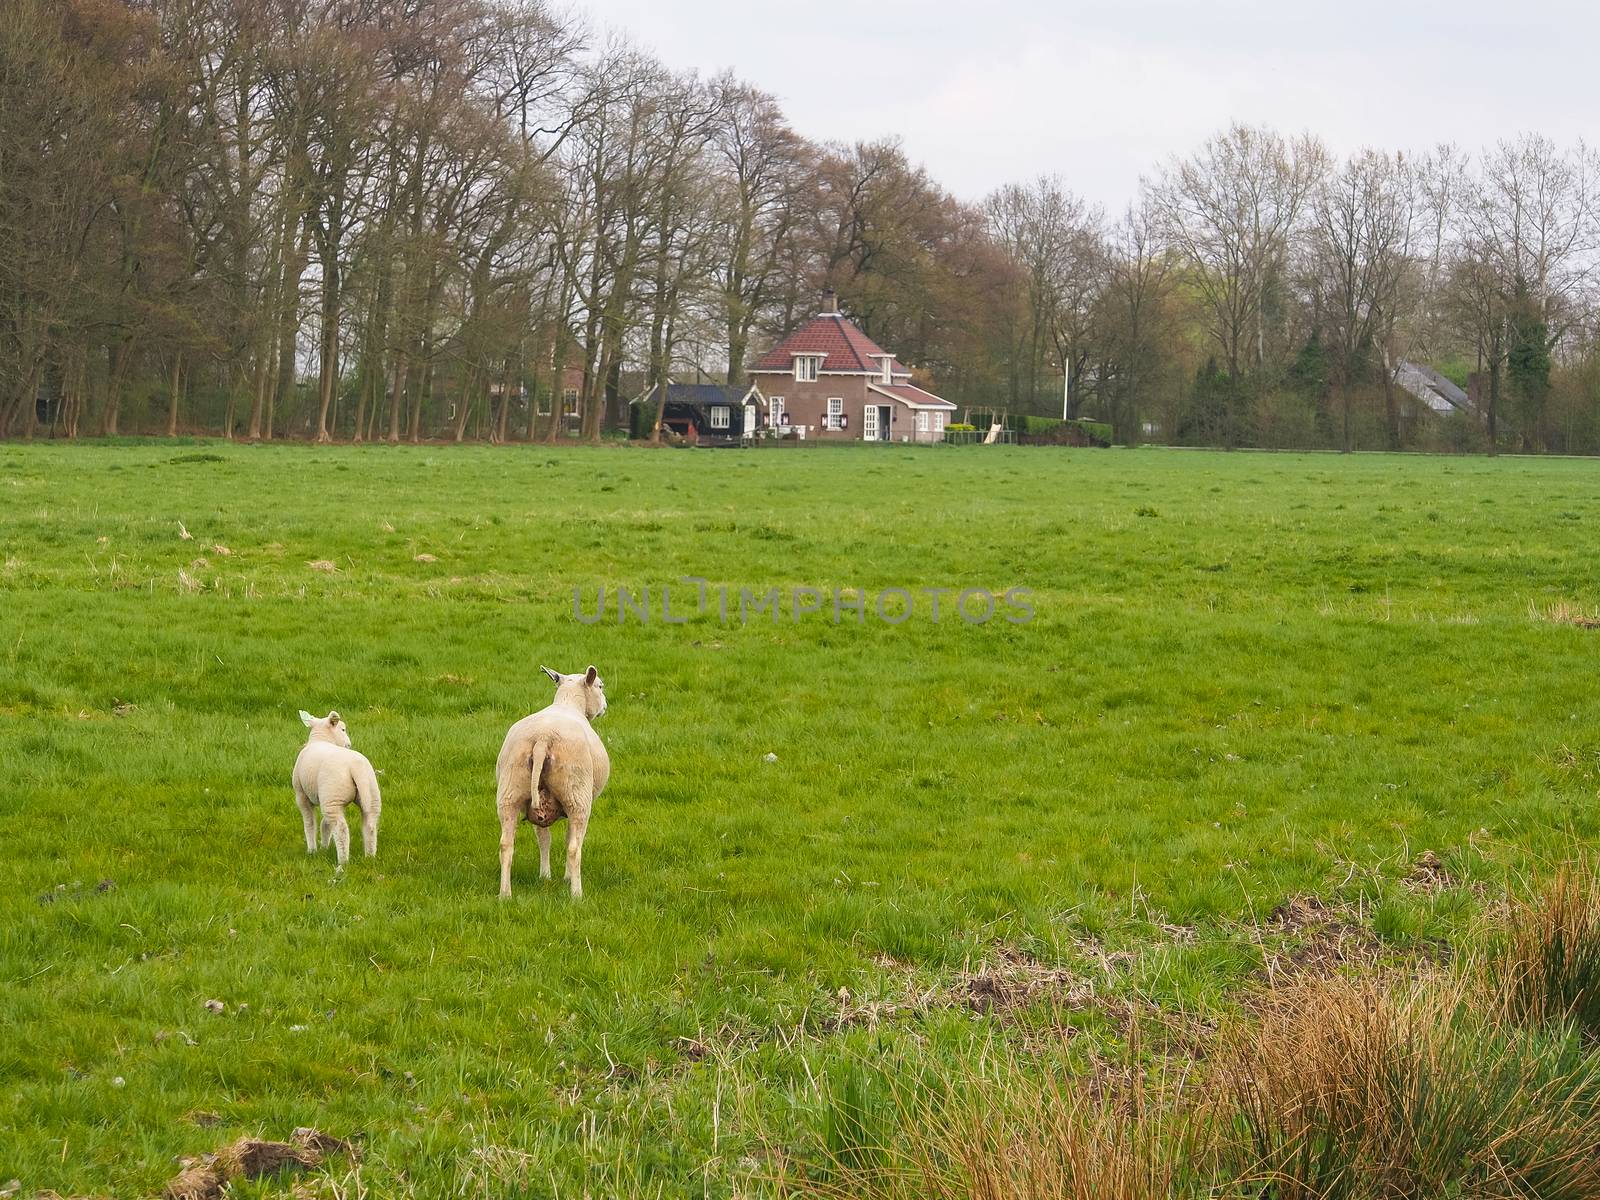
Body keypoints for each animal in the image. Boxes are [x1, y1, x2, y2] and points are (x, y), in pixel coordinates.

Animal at [292, 710, 382, 870]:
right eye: (343, 729)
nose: (349, 744)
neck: (321, 739)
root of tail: (355, 766)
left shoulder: (301, 795)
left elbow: (310, 823)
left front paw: (312, 850)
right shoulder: (330, 799)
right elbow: (325, 824)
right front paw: (324, 847)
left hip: (332, 795)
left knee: (341, 829)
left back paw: (343, 861)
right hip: (368, 793)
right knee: (370, 824)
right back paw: (370, 856)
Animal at [496, 668, 608, 902]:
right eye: (600, 686)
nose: (606, 705)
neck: (568, 703)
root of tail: (542, 739)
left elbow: (543, 838)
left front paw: (545, 876)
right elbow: (567, 839)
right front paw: (566, 877)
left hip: (510, 792)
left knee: (506, 844)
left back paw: (505, 894)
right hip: (577, 796)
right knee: (574, 847)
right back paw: (577, 894)